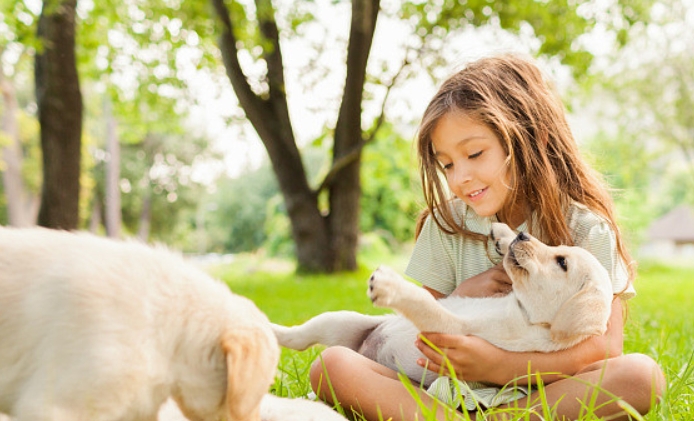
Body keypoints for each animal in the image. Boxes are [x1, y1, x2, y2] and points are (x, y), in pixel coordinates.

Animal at [272, 221, 616, 386]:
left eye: (562, 263)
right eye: (559, 249)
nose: (522, 236)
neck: (522, 310)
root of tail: (363, 349)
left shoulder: (449, 329)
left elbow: (424, 301)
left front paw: (390, 285)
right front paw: (503, 233)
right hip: (341, 320)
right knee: (298, 336)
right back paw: (266, 329)